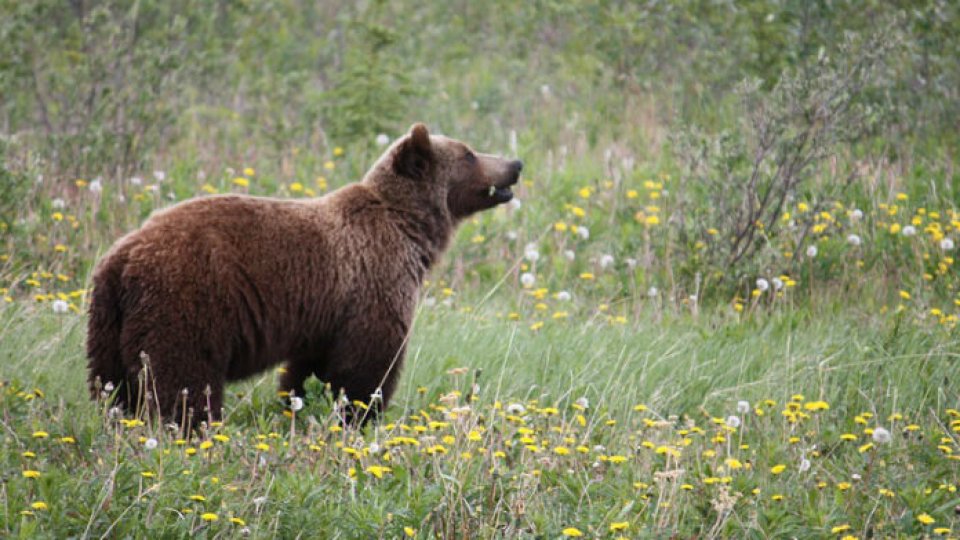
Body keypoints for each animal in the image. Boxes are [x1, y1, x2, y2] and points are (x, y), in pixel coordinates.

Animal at [88, 124, 524, 428]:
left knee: (112, 387)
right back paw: (192, 428)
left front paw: (299, 405)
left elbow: (309, 369)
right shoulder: (373, 280)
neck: (410, 230)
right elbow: (367, 365)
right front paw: (360, 416)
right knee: (183, 379)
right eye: (469, 154)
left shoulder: (325, 312)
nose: (515, 165)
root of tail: (123, 257)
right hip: (186, 302)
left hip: (108, 322)